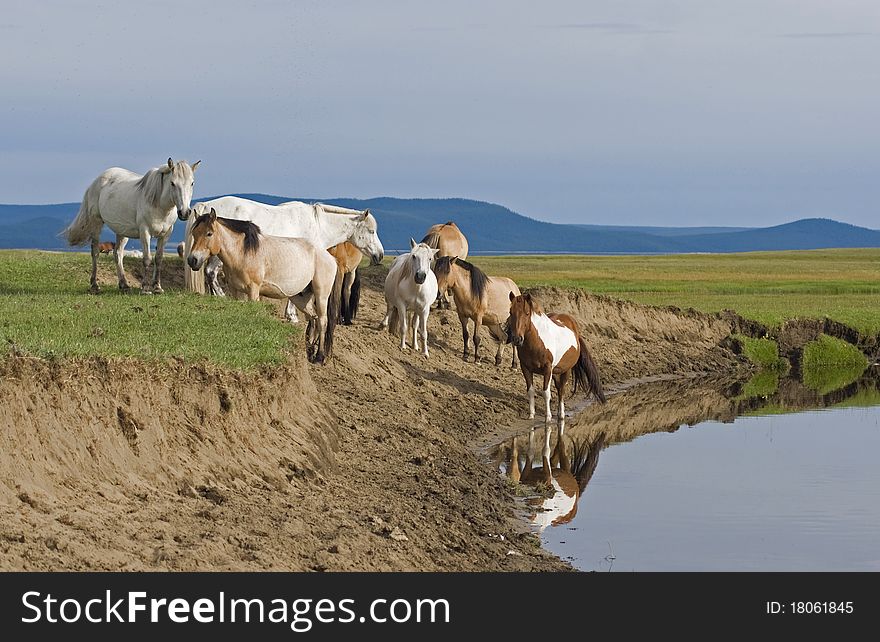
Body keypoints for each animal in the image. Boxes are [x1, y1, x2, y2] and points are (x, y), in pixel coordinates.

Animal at [63, 158, 199, 292]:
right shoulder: (145, 232)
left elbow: (159, 259)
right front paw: (145, 287)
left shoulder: (165, 234)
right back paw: (94, 285)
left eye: (192, 183)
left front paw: (157, 287)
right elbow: (147, 259)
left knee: (118, 253)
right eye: (172, 183)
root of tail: (95, 182)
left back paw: (124, 284)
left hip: (122, 231)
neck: (159, 205)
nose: (185, 212)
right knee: (95, 252)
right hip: (96, 223)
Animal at [506, 292, 608, 428]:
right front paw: (531, 415)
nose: (517, 339)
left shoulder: (547, 369)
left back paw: (561, 414)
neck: (536, 342)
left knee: (561, 390)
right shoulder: (526, 368)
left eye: (527, 313)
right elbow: (531, 391)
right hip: (555, 373)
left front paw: (548, 417)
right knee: (559, 387)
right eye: (510, 312)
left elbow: (546, 393)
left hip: (566, 370)